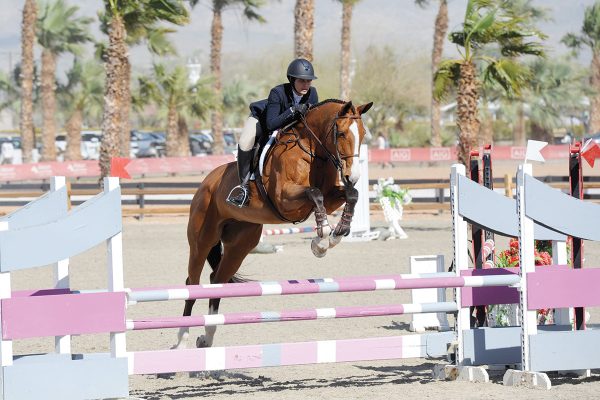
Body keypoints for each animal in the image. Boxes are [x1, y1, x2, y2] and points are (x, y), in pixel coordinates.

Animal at [175, 98, 370, 348]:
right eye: (342, 133)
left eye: (363, 134)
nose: (352, 176)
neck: (313, 150)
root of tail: (206, 183)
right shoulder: (285, 198)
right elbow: (315, 194)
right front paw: (321, 242)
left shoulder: (331, 197)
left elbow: (351, 195)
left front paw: (336, 234)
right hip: (202, 240)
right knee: (192, 282)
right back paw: (182, 339)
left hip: (240, 245)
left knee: (217, 280)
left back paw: (207, 337)